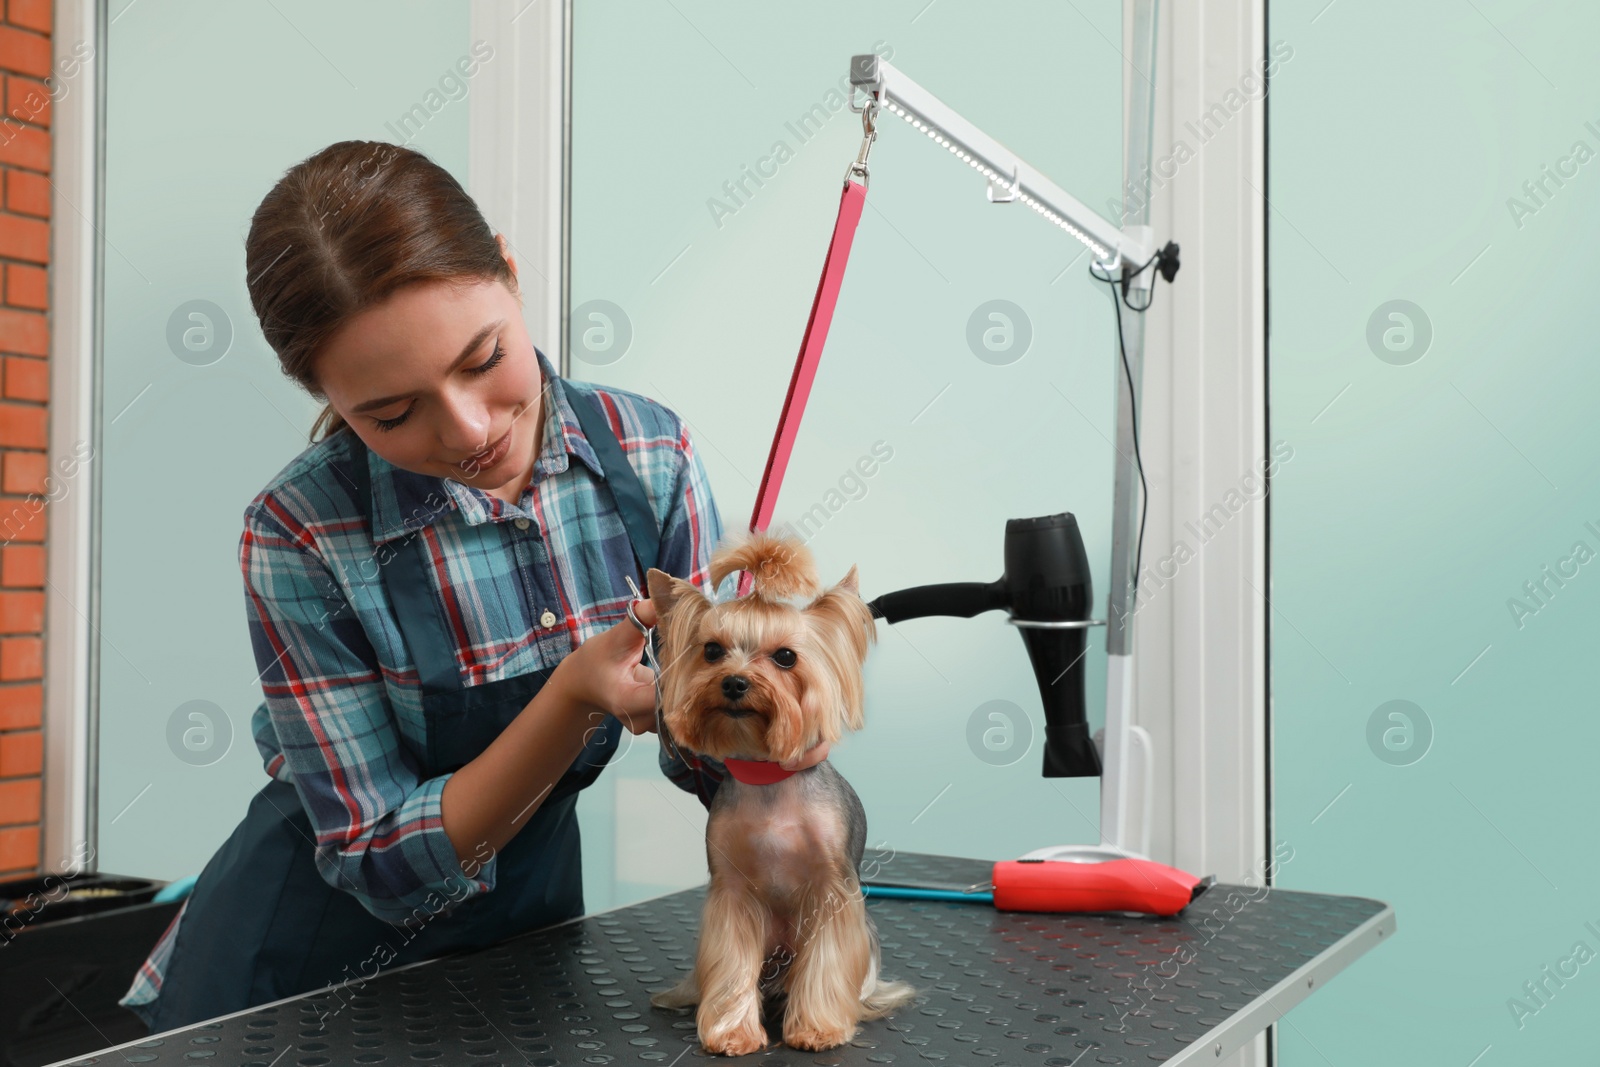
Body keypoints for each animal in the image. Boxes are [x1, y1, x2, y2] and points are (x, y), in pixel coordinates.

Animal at [643, 531, 921, 1055]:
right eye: (712, 650)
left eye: (786, 657)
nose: (734, 682)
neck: (766, 776)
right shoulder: (731, 893)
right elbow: (731, 963)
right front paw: (731, 1032)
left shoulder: (831, 890)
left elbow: (828, 961)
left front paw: (818, 1028)